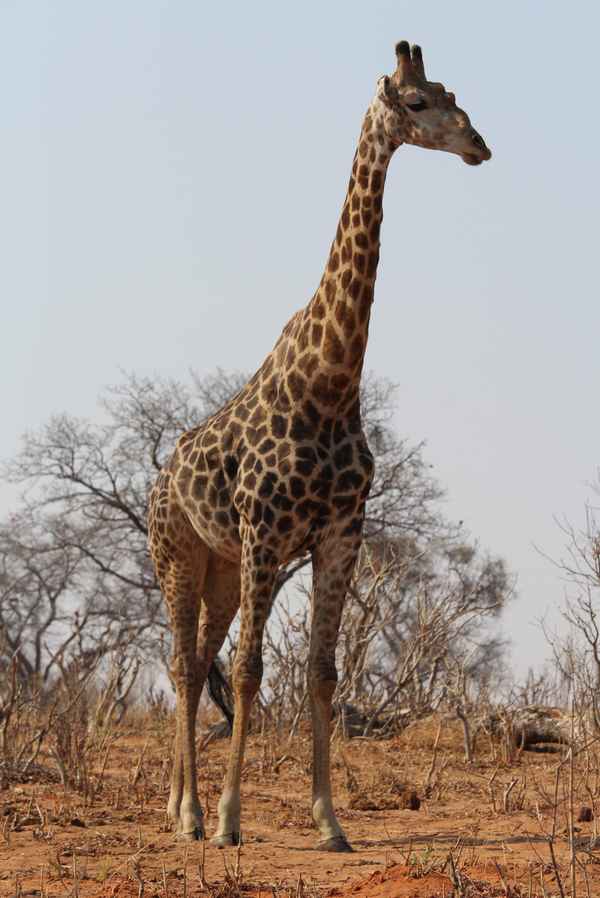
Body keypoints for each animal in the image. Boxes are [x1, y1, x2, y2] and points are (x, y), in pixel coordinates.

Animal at [148, 40, 491, 853]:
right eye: (418, 102)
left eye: (452, 94)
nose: (479, 145)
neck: (332, 380)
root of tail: (159, 476)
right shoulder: (267, 530)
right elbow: (249, 673)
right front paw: (232, 821)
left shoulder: (340, 532)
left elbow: (324, 671)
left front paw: (330, 821)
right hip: (179, 555)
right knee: (184, 663)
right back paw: (190, 815)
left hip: (219, 567)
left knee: (196, 659)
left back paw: (182, 805)